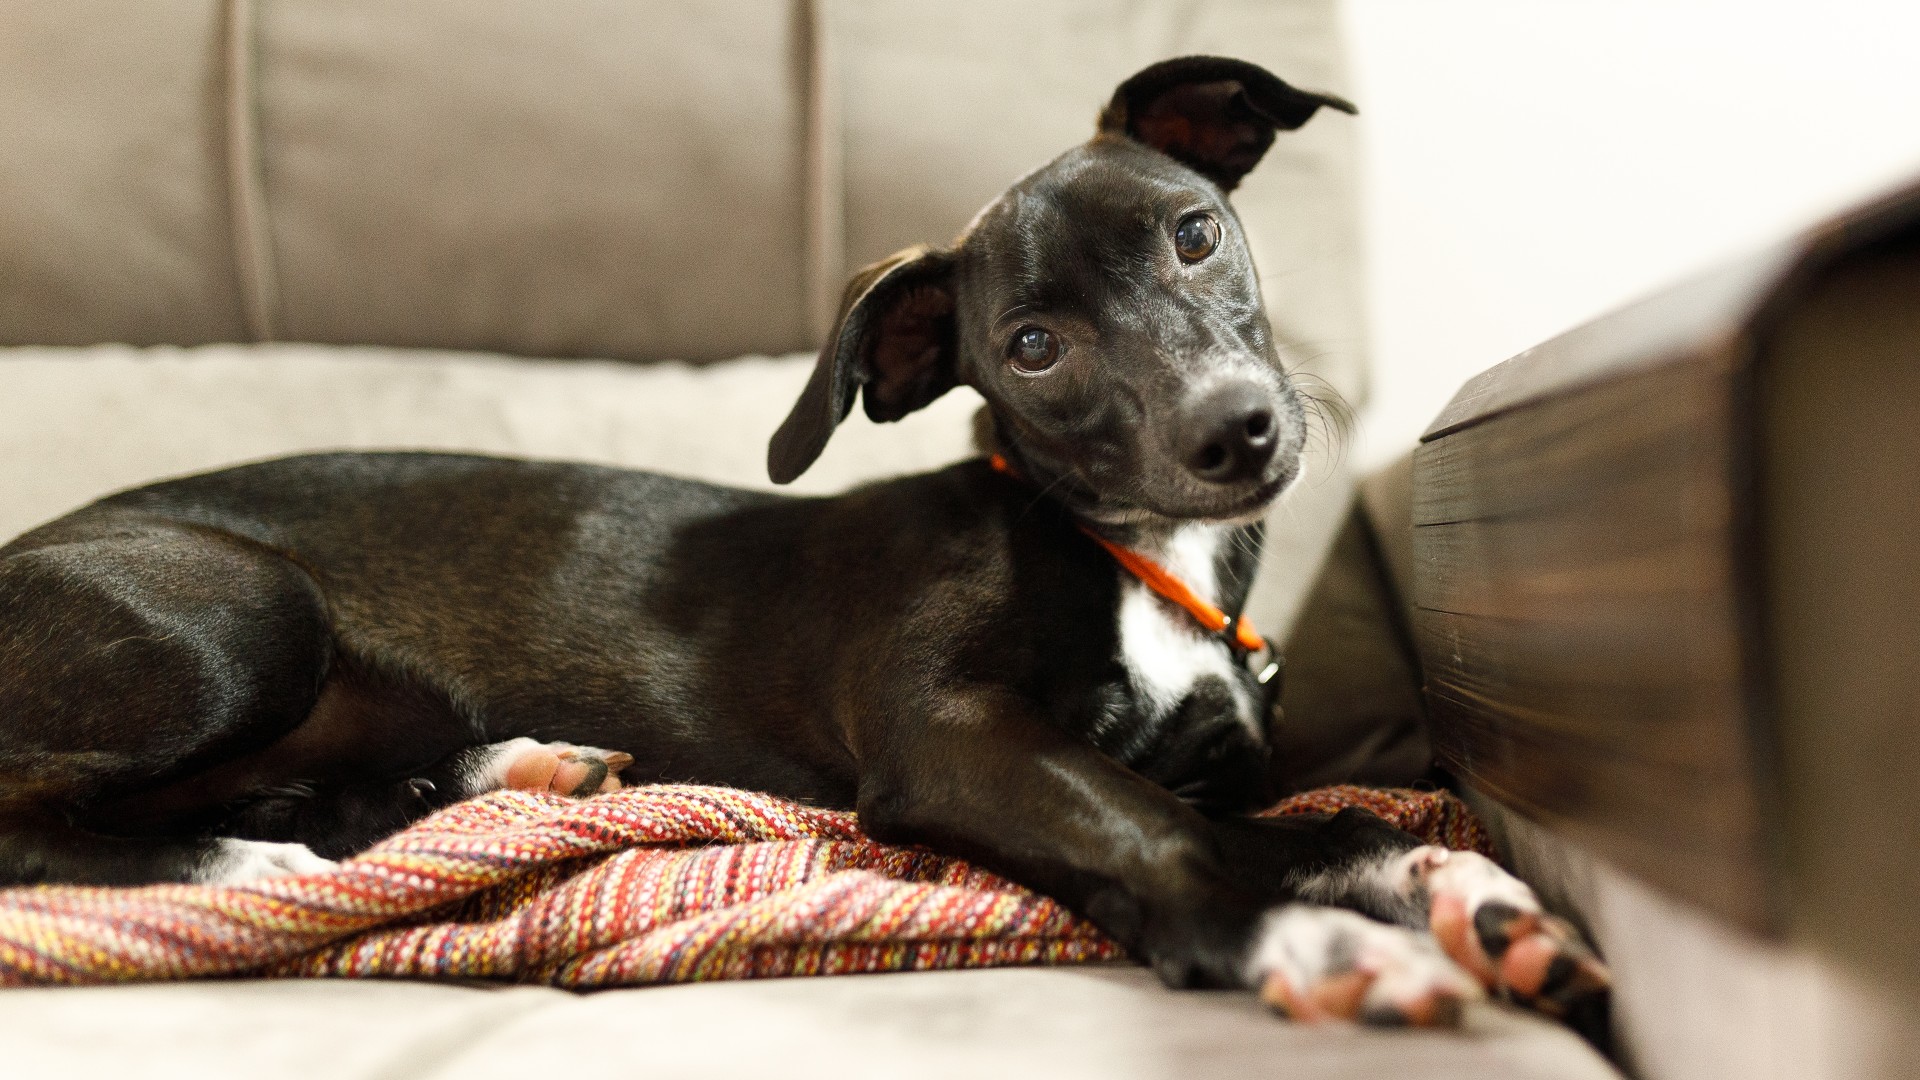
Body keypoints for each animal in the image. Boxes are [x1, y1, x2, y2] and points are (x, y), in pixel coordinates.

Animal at [0, 58, 1605, 1022]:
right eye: (1031, 348)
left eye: (1195, 232)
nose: (1240, 433)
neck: (1135, 557)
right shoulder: (954, 738)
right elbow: (1152, 830)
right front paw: (1306, 941)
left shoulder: (1191, 770)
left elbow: (1322, 823)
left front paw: (1462, 895)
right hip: (244, 614)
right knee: (46, 817)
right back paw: (249, 870)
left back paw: (496, 775)